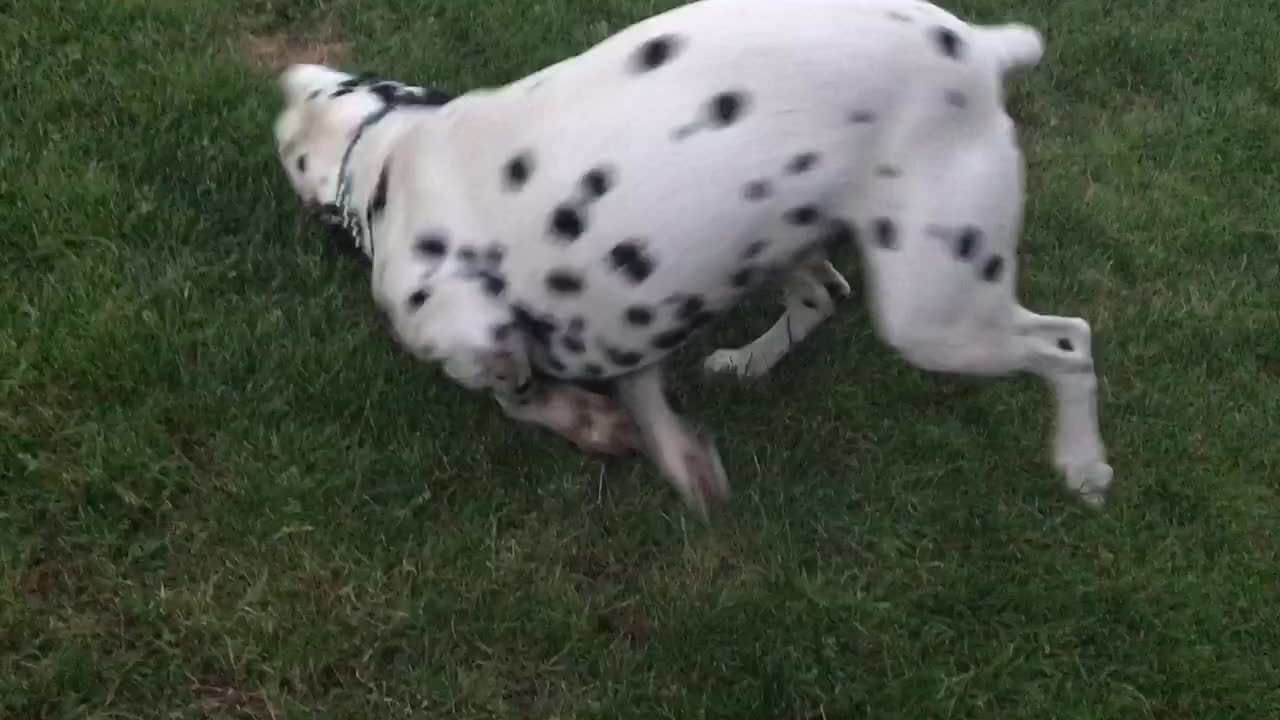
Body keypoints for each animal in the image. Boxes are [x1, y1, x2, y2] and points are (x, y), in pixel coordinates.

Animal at [270, 0, 1111, 515]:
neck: (388, 154)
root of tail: (983, 49)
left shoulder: (465, 326)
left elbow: (515, 392)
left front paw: (585, 421)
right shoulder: (623, 311)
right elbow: (640, 391)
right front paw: (669, 451)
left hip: (937, 316)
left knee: (1069, 343)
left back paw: (1083, 464)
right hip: (789, 238)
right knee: (821, 295)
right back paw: (745, 362)